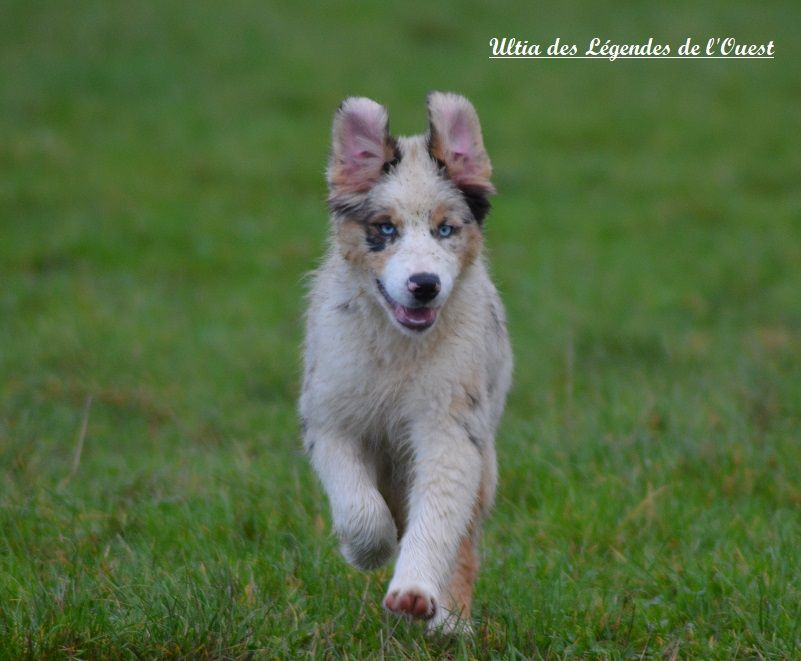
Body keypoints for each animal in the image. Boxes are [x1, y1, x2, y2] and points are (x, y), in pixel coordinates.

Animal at [300, 91, 512, 628]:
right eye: (385, 229)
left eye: (445, 229)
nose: (424, 285)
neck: (397, 349)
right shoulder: (329, 419)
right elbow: (360, 507)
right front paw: (367, 551)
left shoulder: (451, 428)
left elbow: (436, 518)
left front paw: (413, 592)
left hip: (484, 463)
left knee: (462, 541)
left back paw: (450, 620)